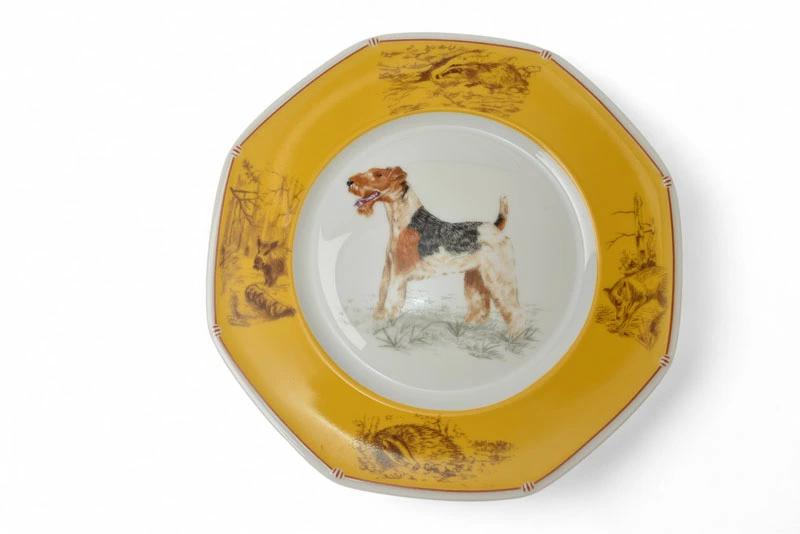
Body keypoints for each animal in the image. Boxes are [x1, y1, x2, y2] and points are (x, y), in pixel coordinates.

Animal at [347, 166, 524, 336]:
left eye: (378, 174)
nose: (349, 182)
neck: (405, 221)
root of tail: (496, 227)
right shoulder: (389, 268)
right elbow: (382, 295)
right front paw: (378, 319)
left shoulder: (398, 273)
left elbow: (391, 300)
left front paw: (386, 324)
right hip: (476, 276)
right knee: (480, 305)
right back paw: (469, 325)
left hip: (500, 276)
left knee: (514, 308)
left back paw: (515, 335)